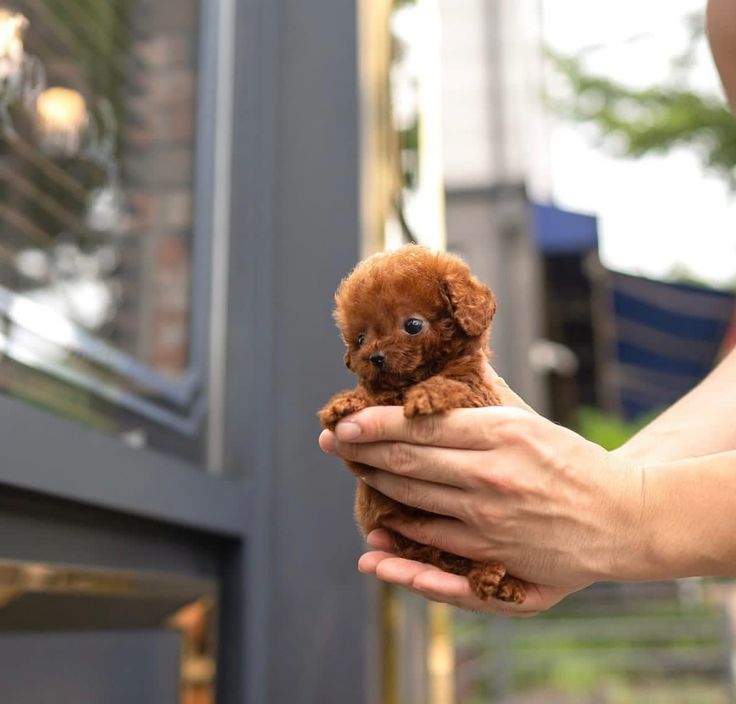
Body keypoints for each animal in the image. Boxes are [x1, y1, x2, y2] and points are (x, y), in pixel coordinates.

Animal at [320, 245, 528, 604]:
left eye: (413, 325)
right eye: (360, 339)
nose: (374, 357)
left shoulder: (477, 396)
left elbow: (450, 386)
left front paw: (426, 397)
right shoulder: (361, 462)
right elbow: (371, 403)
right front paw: (346, 402)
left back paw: (500, 579)